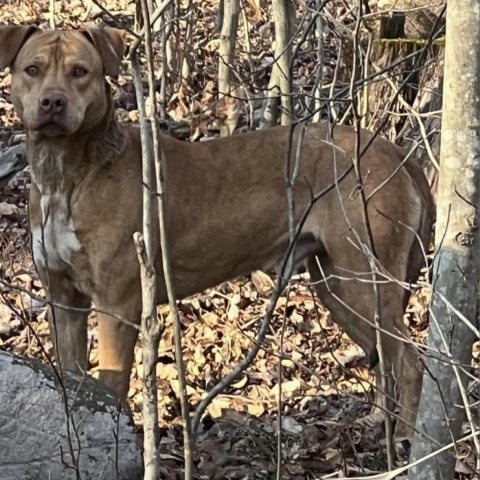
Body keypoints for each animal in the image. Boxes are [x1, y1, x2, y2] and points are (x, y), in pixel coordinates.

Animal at [0, 26, 434, 436]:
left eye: (80, 72)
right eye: (33, 69)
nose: (52, 102)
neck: (67, 175)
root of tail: (396, 152)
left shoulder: (117, 305)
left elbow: (109, 384)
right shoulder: (63, 299)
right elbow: (72, 379)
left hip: (365, 276)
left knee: (410, 362)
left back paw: (409, 443)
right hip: (337, 284)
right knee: (383, 354)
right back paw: (378, 421)